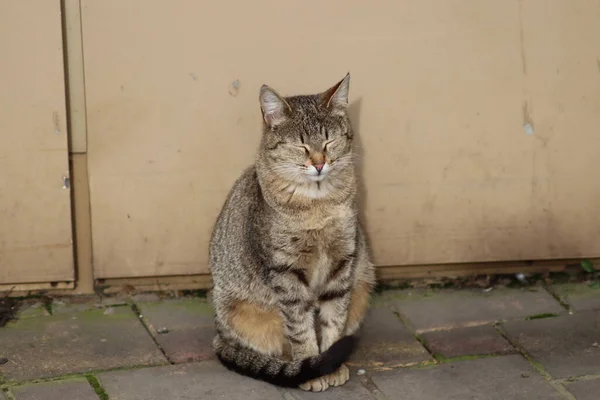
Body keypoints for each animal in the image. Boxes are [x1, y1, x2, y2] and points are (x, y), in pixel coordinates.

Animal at [209, 73, 372, 392]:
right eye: (301, 146)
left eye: (329, 141)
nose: (320, 163)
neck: (318, 203)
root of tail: (219, 334)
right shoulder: (286, 271)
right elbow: (299, 327)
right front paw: (312, 367)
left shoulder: (343, 261)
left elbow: (334, 319)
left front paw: (331, 364)